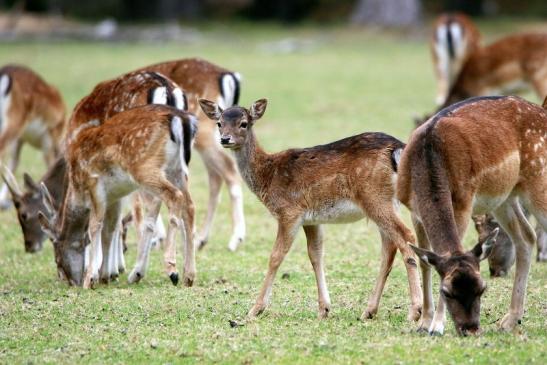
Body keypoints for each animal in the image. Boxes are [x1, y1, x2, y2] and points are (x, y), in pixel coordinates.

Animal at [136, 58, 247, 252]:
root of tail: (229, 75)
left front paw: (154, 239)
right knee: (215, 175)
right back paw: (200, 240)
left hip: (204, 130)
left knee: (228, 168)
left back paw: (235, 239)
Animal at [201, 98, 424, 320]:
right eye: (219, 123)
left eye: (244, 123)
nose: (225, 139)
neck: (268, 175)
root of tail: (398, 148)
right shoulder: (312, 219)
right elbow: (315, 254)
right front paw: (324, 308)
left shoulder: (289, 212)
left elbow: (275, 256)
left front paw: (255, 309)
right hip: (386, 202)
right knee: (389, 247)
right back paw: (369, 311)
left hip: (375, 198)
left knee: (406, 236)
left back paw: (415, 311)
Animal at [398, 94, 547, 336]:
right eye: (447, 291)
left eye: (482, 289)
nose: (470, 329)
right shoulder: (414, 211)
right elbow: (425, 262)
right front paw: (424, 323)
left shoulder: (463, 202)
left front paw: (437, 326)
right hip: (505, 197)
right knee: (525, 237)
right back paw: (509, 320)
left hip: (538, 182)